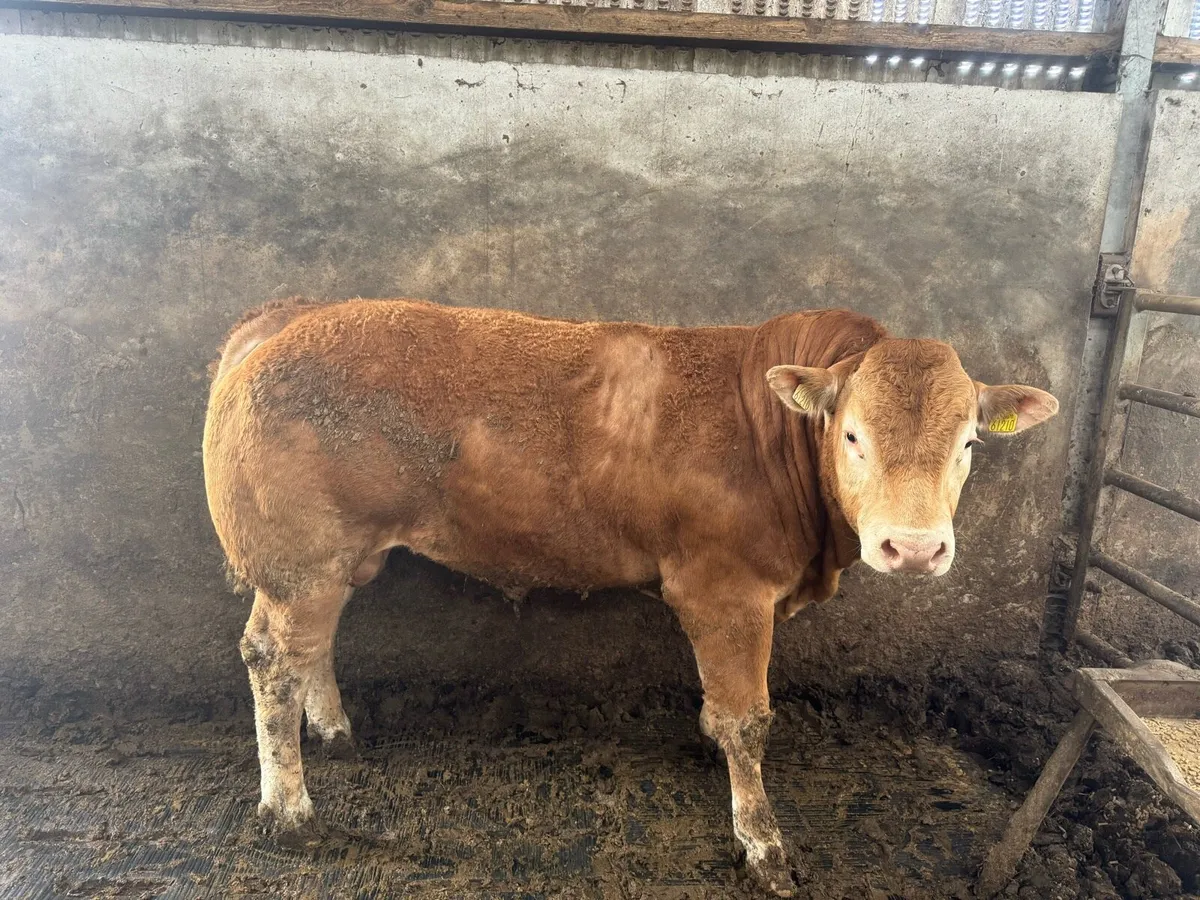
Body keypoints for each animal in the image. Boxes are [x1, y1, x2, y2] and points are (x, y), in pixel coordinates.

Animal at [202, 297, 1058, 895]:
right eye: (853, 436)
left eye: (969, 443)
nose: (913, 549)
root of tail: (287, 316)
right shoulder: (725, 591)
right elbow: (747, 720)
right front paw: (763, 846)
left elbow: (721, 711)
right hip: (301, 560)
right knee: (274, 661)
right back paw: (289, 813)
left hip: (326, 563)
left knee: (296, 648)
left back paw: (334, 732)